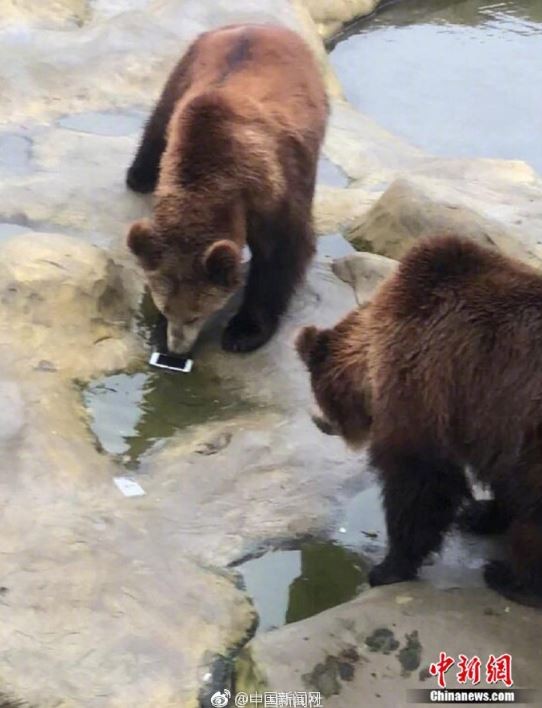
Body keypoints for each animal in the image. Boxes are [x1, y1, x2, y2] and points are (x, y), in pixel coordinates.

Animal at [126, 23, 330, 354]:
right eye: (166, 308)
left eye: (196, 314)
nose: (176, 347)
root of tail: (261, 24)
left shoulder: (273, 189)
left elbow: (281, 252)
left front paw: (244, 331)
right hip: (187, 65)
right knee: (161, 114)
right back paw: (139, 174)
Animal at [298, 235, 542, 604]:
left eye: (320, 393)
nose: (317, 421)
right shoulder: (492, 422)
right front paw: (480, 513)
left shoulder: (423, 379)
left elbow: (419, 478)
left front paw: (388, 568)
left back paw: (509, 577)